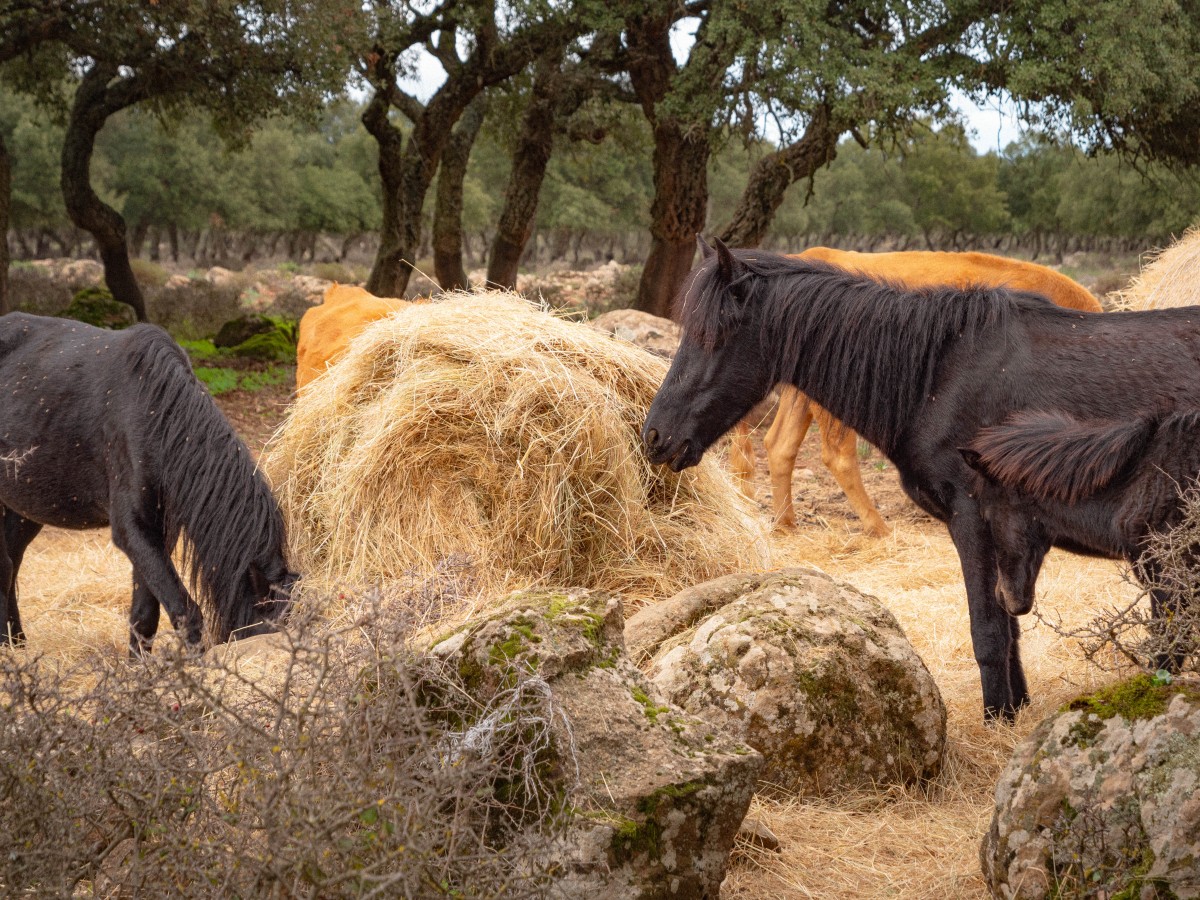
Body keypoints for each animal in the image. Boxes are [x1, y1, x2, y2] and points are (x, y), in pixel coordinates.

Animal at [0, 314, 295, 652]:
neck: (156, 414)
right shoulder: (131, 529)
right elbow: (184, 611)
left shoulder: (158, 533)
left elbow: (144, 613)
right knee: (4, 569)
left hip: (24, 510)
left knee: (11, 565)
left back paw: (16, 643)